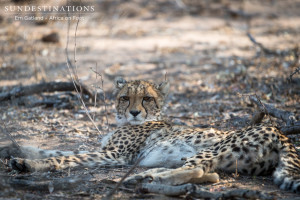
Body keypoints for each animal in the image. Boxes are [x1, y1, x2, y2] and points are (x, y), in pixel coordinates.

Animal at [0, 77, 300, 193]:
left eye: (146, 98)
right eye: (125, 98)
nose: (134, 112)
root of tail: (279, 131)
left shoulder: (115, 156)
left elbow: (64, 158)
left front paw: (28, 164)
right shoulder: (107, 150)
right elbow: (57, 150)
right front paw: (12, 151)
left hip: (215, 148)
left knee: (195, 170)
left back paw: (144, 178)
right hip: (227, 159)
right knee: (208, 174)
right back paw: (147, 177)